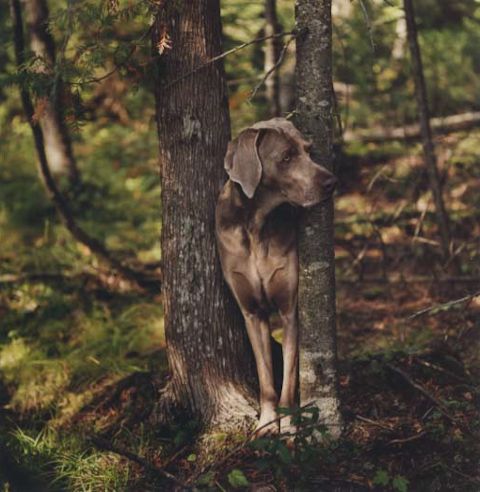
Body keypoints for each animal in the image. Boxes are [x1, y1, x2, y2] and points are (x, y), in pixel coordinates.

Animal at [216, 119, 336, 434]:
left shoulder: (289, 310)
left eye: (308, 150)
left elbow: (289, 378)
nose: (332, 182)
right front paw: (268, 422)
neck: (255, 225)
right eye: (286, 157)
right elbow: (266, 379)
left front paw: (290, 425)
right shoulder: (252, 313)